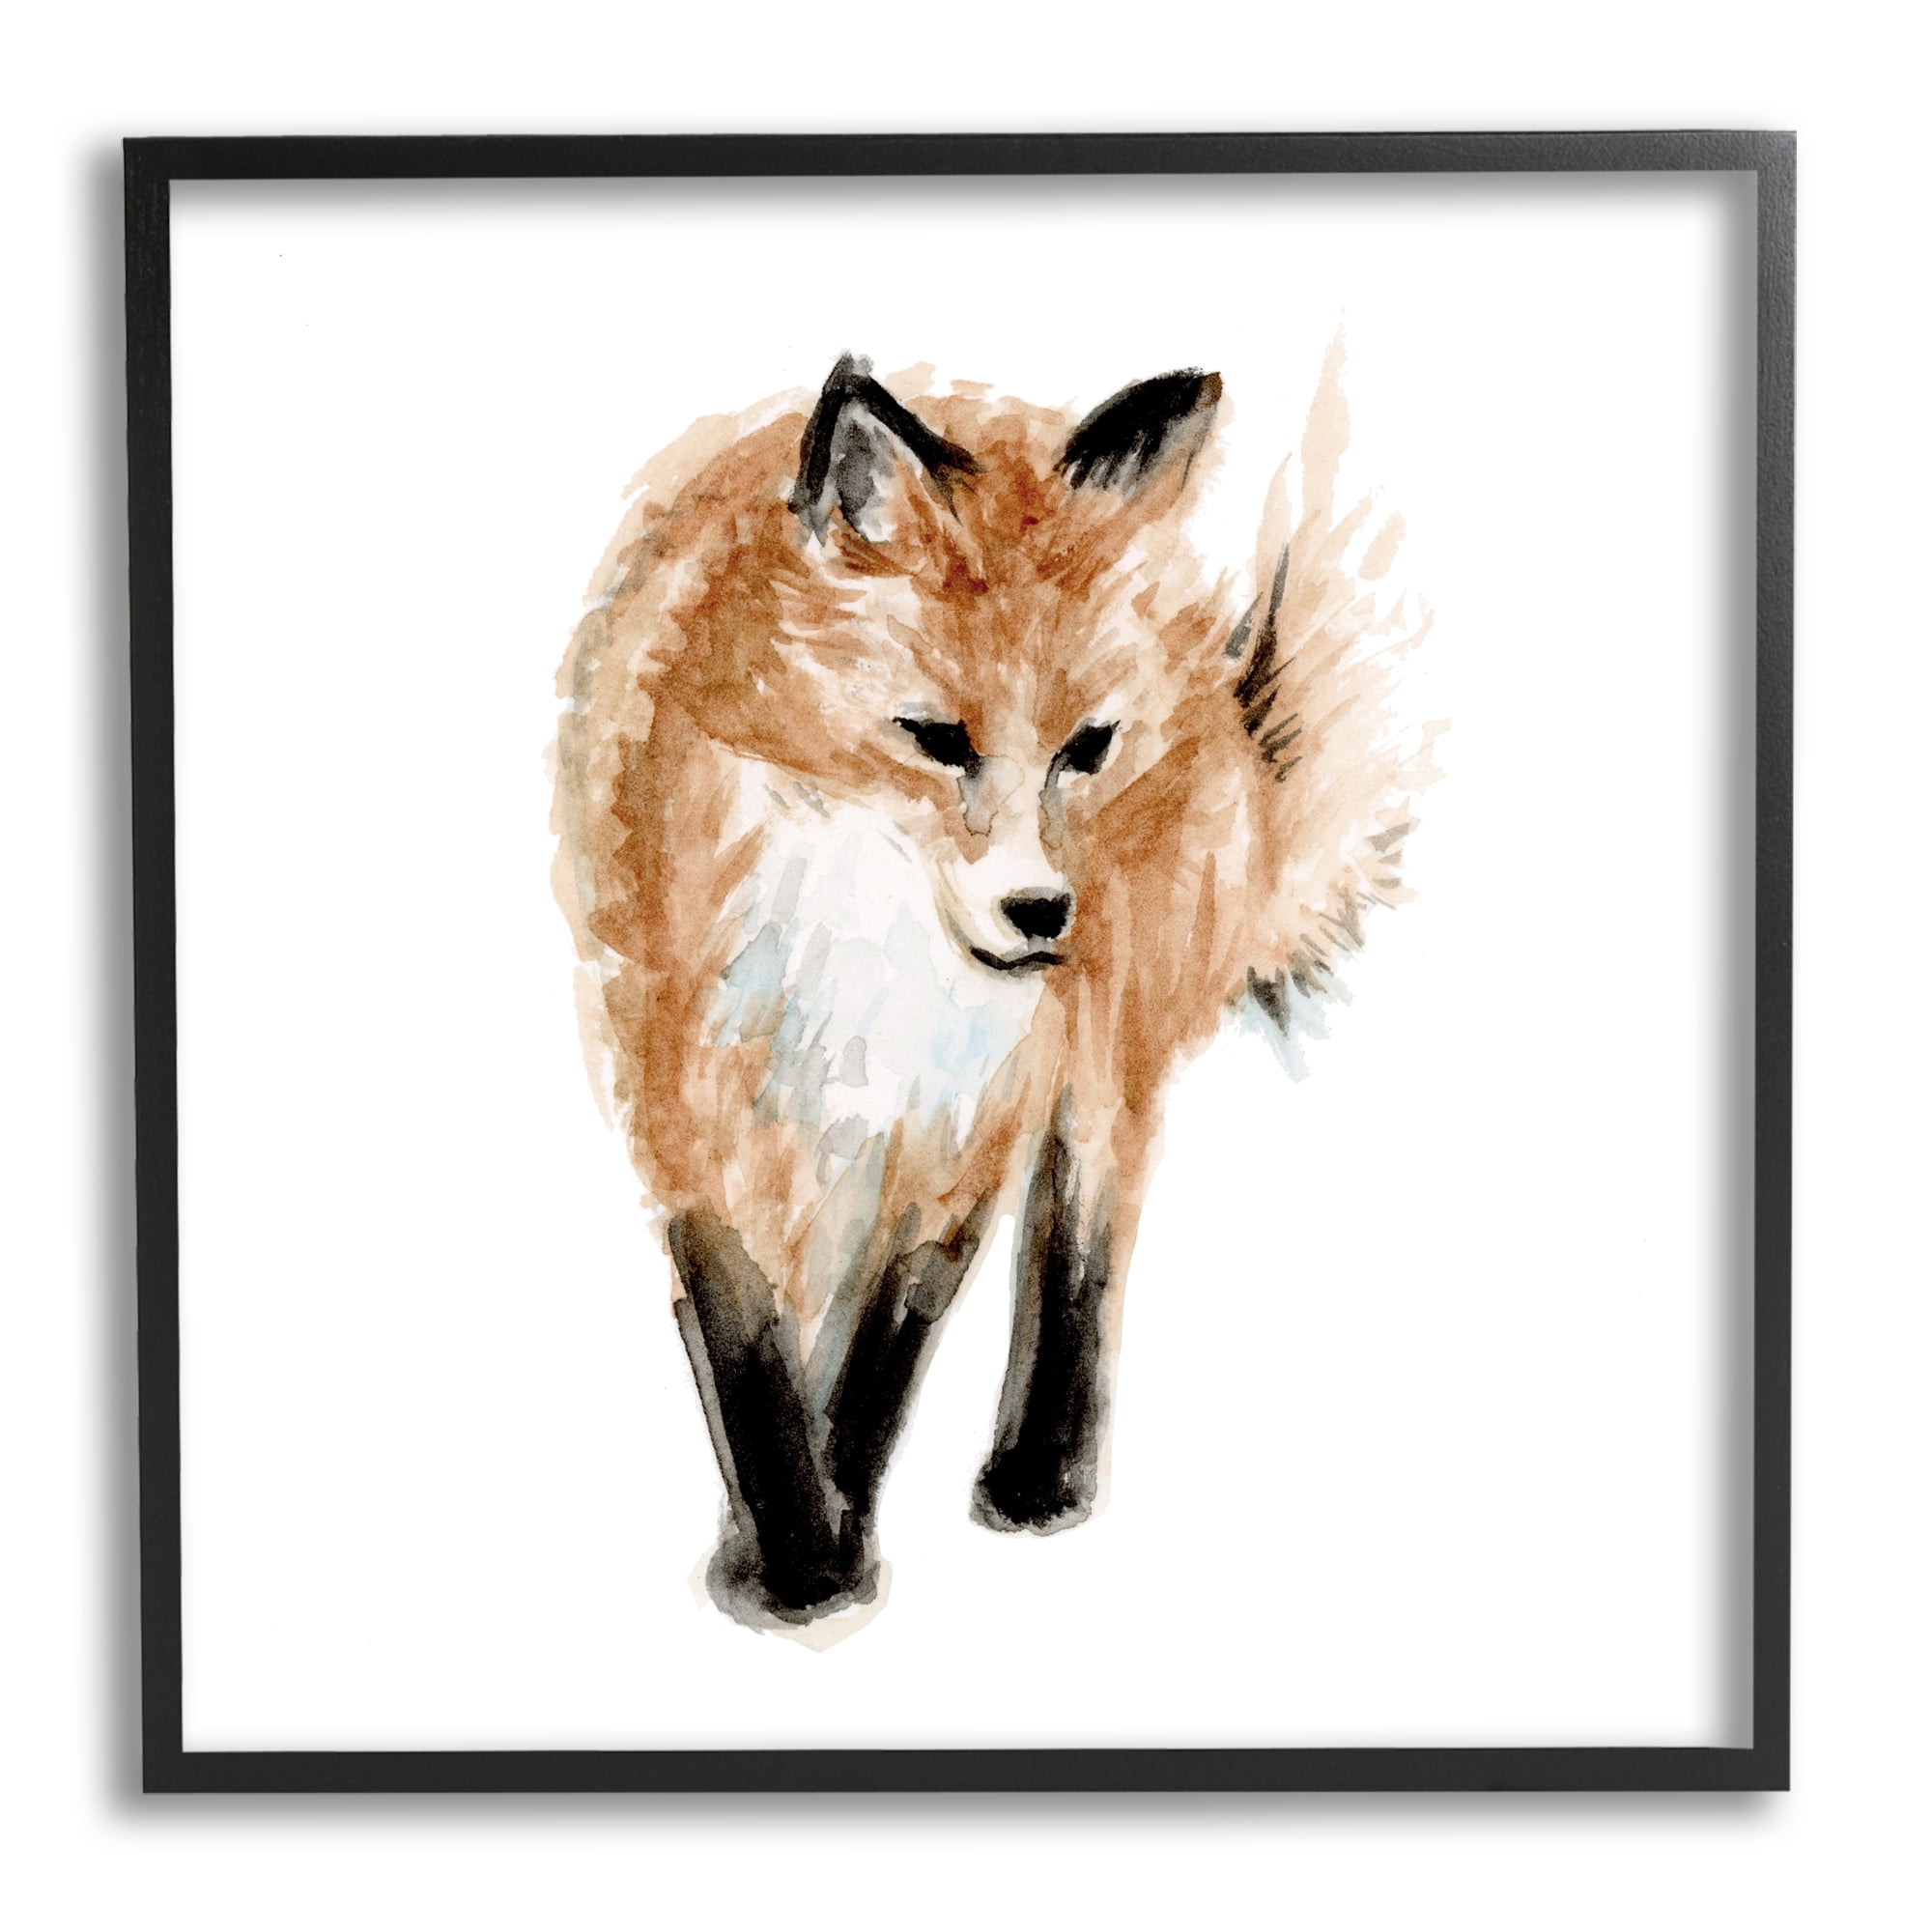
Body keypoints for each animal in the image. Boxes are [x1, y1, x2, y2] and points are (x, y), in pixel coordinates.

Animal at [552, 347, 1427, 1631]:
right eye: (935, 737)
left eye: (1085, 747)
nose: (1041, 914)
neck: (869, 950)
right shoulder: (681, 1096)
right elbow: (749, 1345)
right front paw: (790, 1549)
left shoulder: (966, 1123)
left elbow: (883, 1353)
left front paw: (829, 1543)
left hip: (1104, 1049)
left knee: (1082, 1230)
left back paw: (1040, 1468)